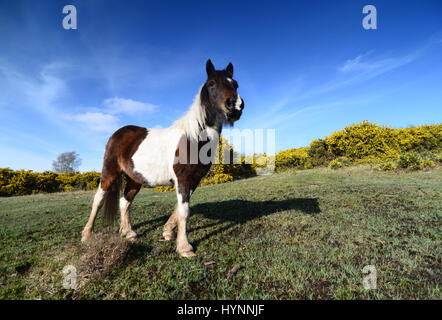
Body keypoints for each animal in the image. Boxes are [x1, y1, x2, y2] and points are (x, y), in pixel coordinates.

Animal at [81, 60, 243, 258]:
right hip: (110, 172)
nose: (235, 106)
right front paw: (185, 247)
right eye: (212, 83)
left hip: (135, 179)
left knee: (124, 202)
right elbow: (184, 211)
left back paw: (128, 233)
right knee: (98, 200)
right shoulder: (183, 179)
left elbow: (180, 208)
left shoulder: (193, 180)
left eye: (235, 84)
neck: (193, 137)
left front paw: (167, 232)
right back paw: (87, 235)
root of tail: (118, 133)